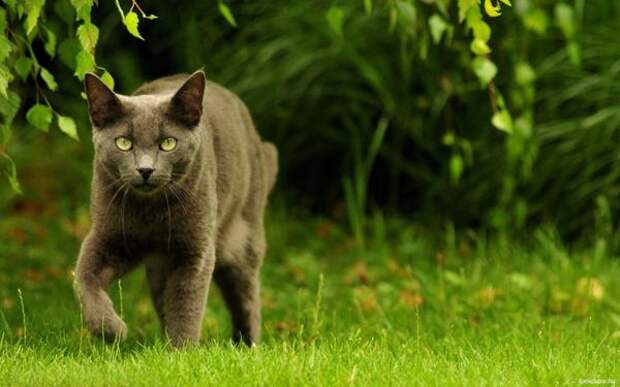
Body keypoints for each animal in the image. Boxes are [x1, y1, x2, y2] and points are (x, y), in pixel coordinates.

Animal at [72, 71, 278, 348]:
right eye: (123, 143)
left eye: (168, 143)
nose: (145, 169)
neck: (150, 212)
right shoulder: (108, 236)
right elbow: (83, 277)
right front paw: (112, 330)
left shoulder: (195, 250)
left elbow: (185, 305)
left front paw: (181, 352)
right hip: (159, 266)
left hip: (243, 240)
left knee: (247, 300)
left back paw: (247, 346)